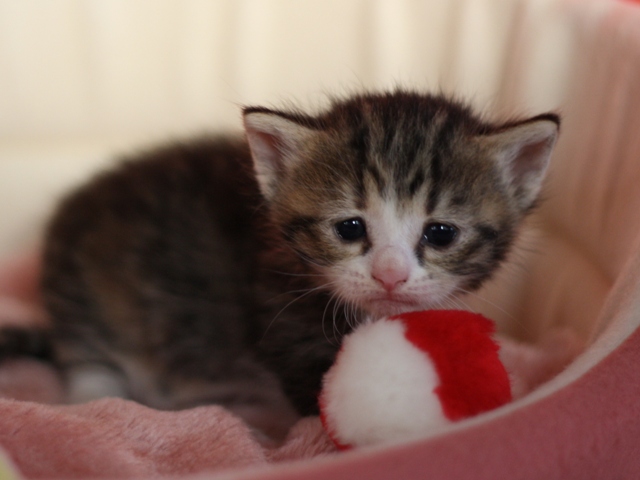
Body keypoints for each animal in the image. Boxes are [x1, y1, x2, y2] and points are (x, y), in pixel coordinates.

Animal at [3, 90, 560, 438]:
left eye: (440, 233)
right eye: (350, 228)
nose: (390, 274)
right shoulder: (286, 323)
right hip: (86, 294)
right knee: (88, 362)